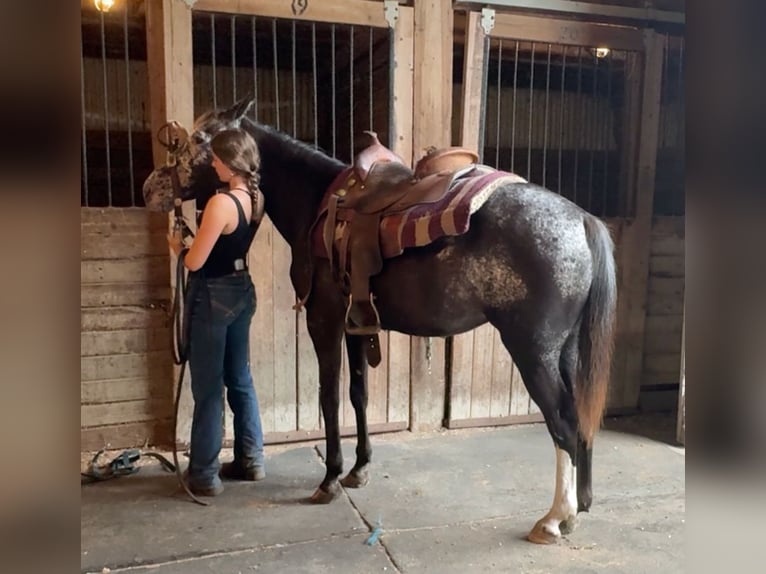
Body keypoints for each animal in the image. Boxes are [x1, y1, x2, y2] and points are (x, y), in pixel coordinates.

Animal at [144, 97, 620, 548]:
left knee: (563, 422)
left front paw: (330, 480)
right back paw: (581, 505)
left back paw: (554, 519)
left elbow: (329, 398)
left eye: (198, 138)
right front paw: (359, 470)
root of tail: (581, 220)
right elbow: (359, 395)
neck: (316, 203)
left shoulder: (324, 321)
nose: (150, 188)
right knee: (580, 417)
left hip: (532, 351)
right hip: (564, 352)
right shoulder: (357, 325)